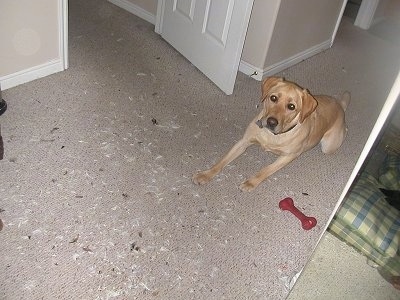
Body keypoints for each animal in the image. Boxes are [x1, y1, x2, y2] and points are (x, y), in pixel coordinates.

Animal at [192, 76, 348, 191]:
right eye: (273, 98)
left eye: (291, 106)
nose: (271, 122)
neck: (272, 135)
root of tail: (339, 104)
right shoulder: (243, 142)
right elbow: (222, 161)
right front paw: (206, 174)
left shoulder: (288, 156)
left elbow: (265, 170)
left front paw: (250, 183)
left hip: (328, 147)